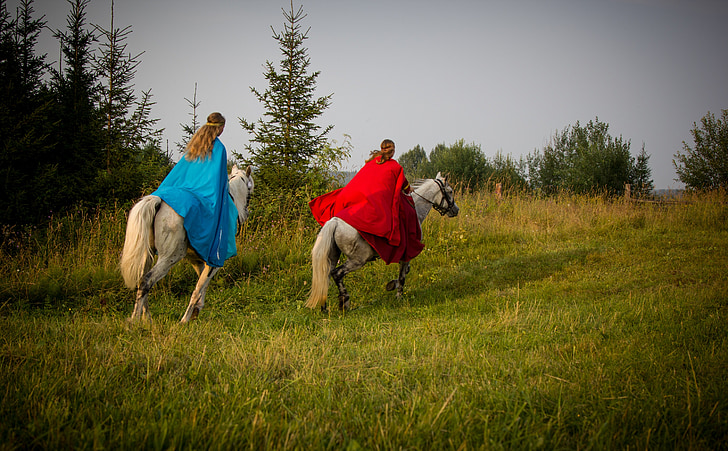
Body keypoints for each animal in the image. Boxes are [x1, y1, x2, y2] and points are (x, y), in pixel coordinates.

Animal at [121, 164, 255, 324]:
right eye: (249, 192)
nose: (246, 214)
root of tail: (158, 201)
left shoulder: (197, 261)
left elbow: (202, 285)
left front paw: (196, 311)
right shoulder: (214, 264)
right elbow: (198, 289)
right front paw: (185, 320)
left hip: (148, 255)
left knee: (142, 280)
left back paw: (147, 318)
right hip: (169, 258)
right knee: (146, 281)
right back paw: (135, 320)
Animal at [304, 171, 458, 312]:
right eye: (450, 191)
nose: (456, 210)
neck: (416, 209)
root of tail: (334, 222)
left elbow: (405, 271)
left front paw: (392, 285)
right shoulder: (407, 254)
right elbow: (403, 276)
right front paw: (398, 296)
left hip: (333, 256)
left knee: (325, 276)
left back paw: (324, 307)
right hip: (358, 260)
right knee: (337, 274)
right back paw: (344, 302)